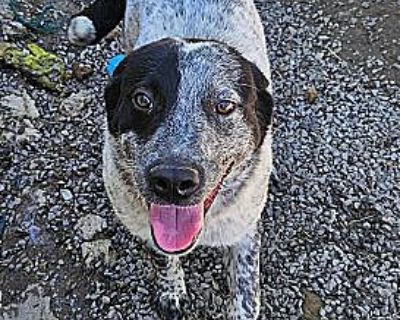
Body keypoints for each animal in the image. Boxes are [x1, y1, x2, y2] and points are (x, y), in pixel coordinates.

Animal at [69, 1, 276, 318]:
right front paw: (172, 290)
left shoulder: (244, 228)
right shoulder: (145, 225)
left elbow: (246, 292)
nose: (172, 181)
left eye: (224, 105)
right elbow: (162, 258)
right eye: (142, 100)